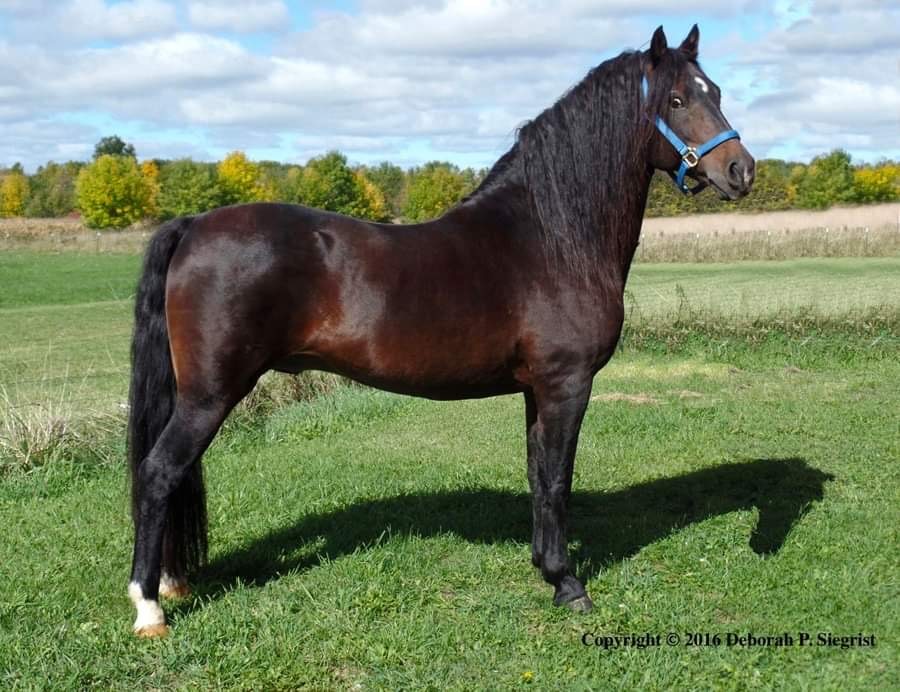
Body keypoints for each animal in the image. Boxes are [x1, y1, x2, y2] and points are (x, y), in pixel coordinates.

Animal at [127, 24, 755, 636]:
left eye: (718, 92)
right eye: (676, 100)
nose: (741, 170)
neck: (551, 238)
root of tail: (194, 225)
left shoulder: (536, 391)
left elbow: (537, 474)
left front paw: (543, 567)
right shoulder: (567, 384)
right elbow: (558, 478)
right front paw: (568, 585)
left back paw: (173, 583)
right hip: (210, 396)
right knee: (158, 473)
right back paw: (149, 607)